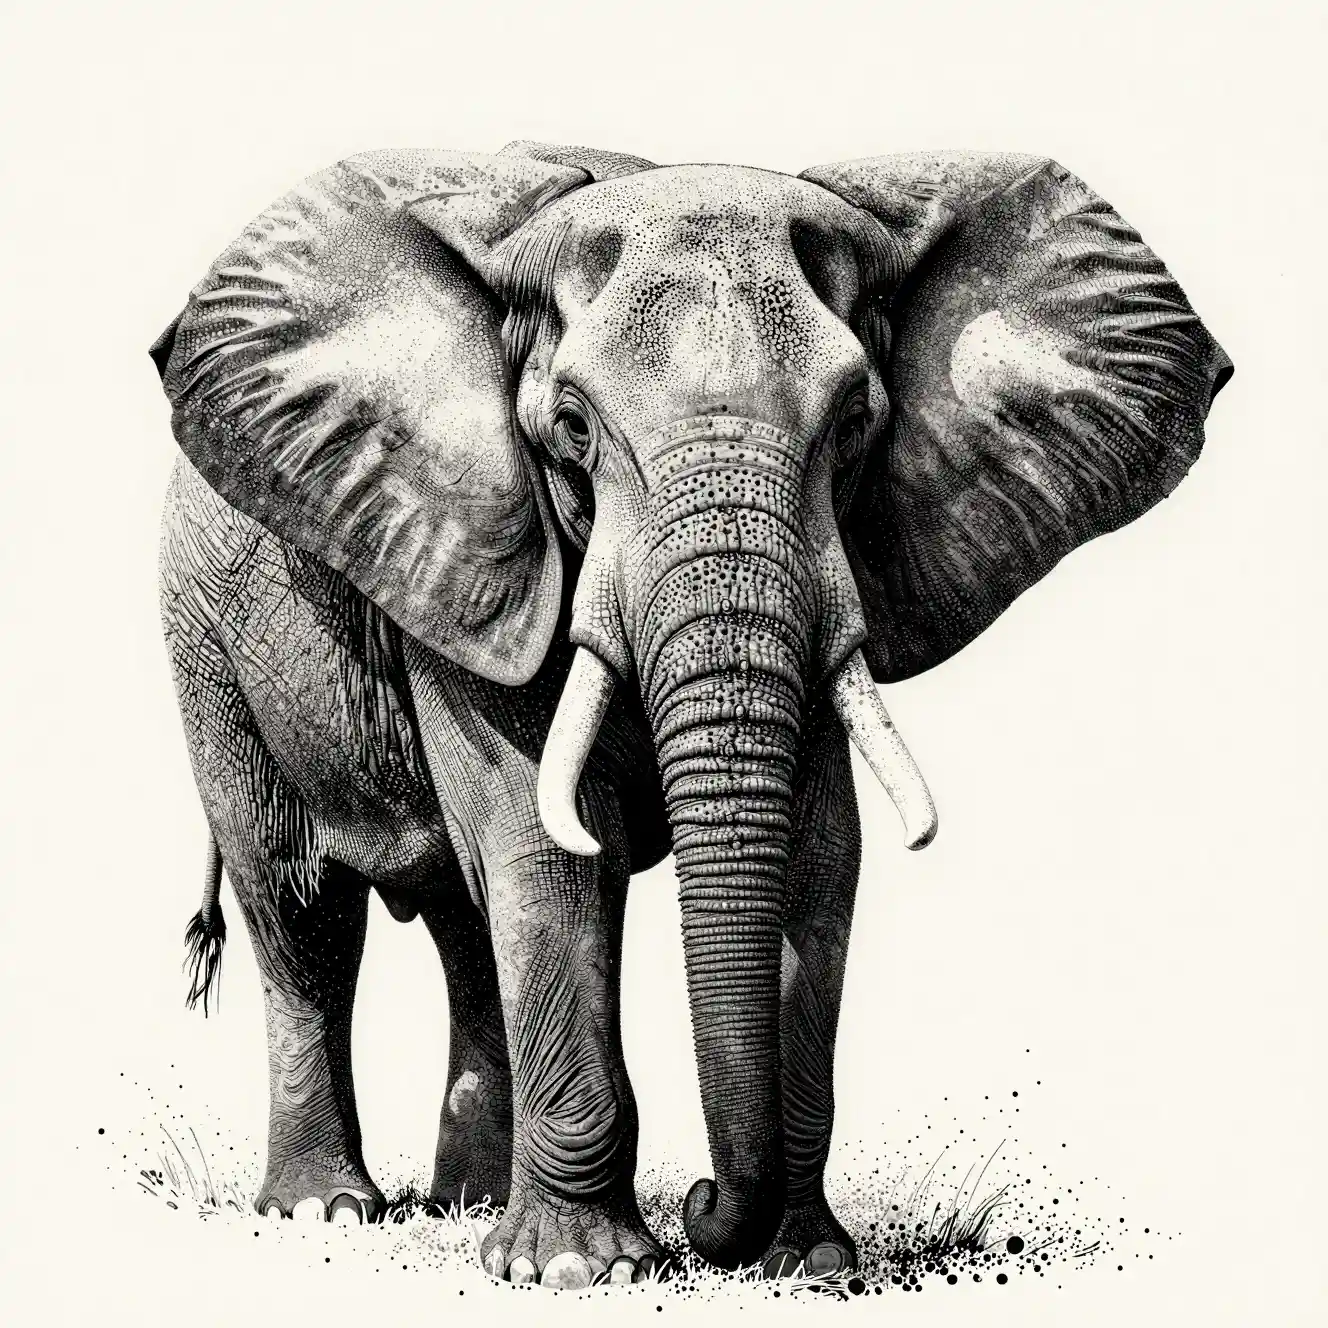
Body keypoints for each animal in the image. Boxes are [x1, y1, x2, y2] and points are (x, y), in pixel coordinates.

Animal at [151, 139, 1230, 1285]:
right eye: (571, 429)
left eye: (857, 423)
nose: (707, 1202)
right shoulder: (489, 559)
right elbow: (548, 851)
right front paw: (577, 1272)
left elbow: (816, 856)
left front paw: (808, 1264)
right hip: (207, 645)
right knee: (300, 905)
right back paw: (327, 1211)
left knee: (463, 926)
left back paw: (466, 1204)